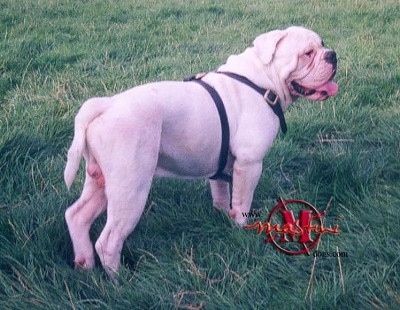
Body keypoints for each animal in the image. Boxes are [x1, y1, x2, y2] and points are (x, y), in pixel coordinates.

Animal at [63, 26, 338, 278]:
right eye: (307, 54)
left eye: (323, 45)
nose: (332, 55)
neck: (262, 81)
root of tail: (106, 105)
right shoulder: (249, 165)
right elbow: (242, 203)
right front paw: (240, 229)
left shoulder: (220, 169)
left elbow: (221, 196)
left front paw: (223, 219)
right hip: (130, 189)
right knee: (109, 241)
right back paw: (119, 281)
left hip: (100, 183)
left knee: (76, 216)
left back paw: (84, 264)